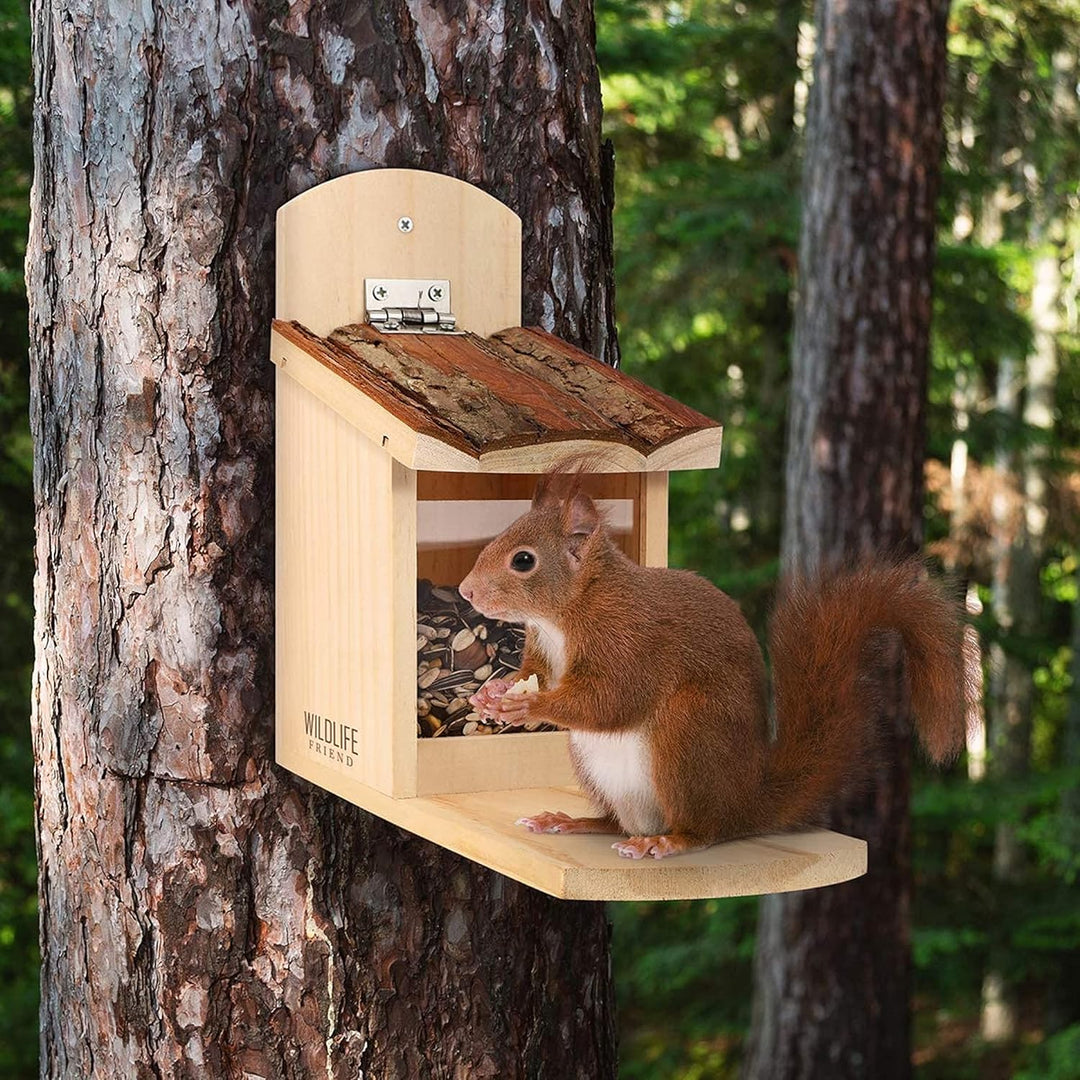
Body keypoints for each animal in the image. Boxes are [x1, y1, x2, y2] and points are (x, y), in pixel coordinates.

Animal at [458, 465, 973, 860]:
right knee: (619, 823)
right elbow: (534, 674)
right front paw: (492, 693)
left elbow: (611, 701)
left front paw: (526, 706)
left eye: (523, 561)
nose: (465, 591)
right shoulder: (543, 651)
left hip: (689, 731)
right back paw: (574, 822)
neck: (564, 616)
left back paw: (667, 842)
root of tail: (745, 802)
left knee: (704, 830)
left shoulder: (630, 640)